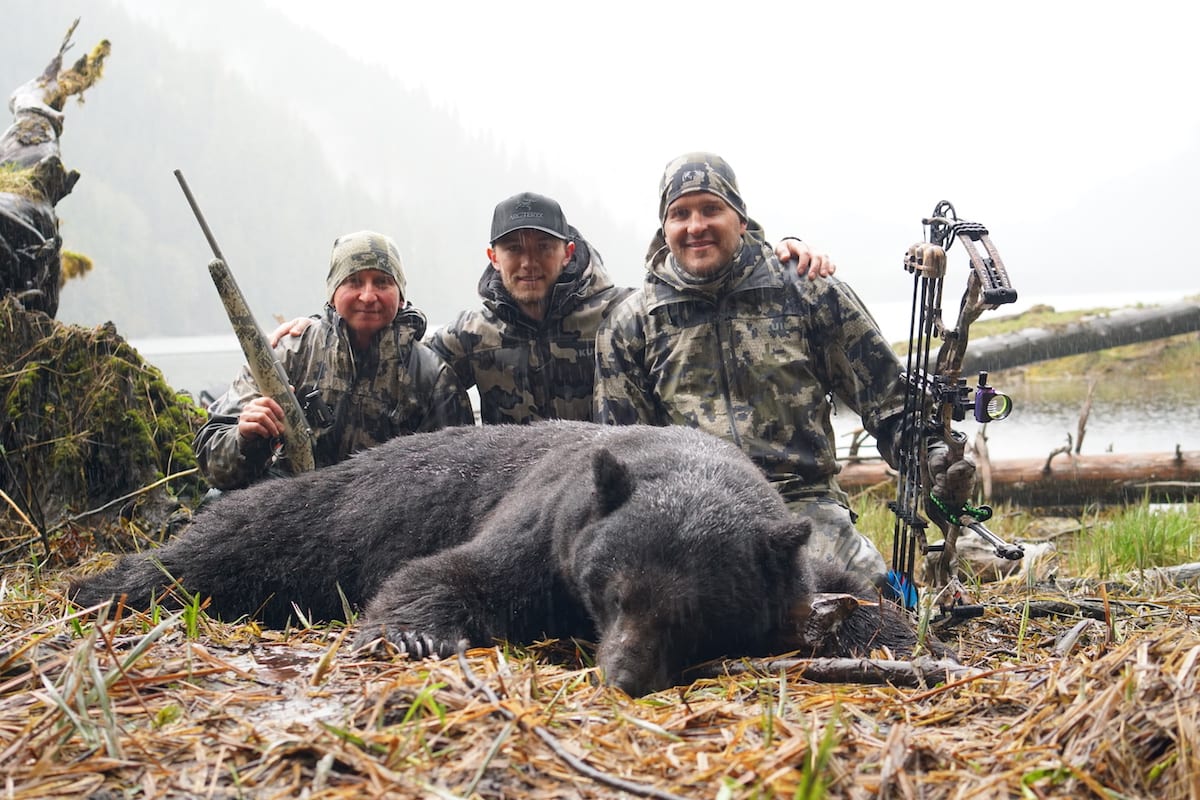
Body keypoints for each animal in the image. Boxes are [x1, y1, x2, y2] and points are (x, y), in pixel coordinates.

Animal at [70, 422, 921, 695]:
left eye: (696, 616)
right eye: (612, 593)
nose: (622, 675)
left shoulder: (795, 560)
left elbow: (855, 593)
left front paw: (887, 635)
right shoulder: (543, 530)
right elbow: (447, 574)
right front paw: (413, 636)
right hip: (300, 520)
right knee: (215, 549)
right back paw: (100, 585)